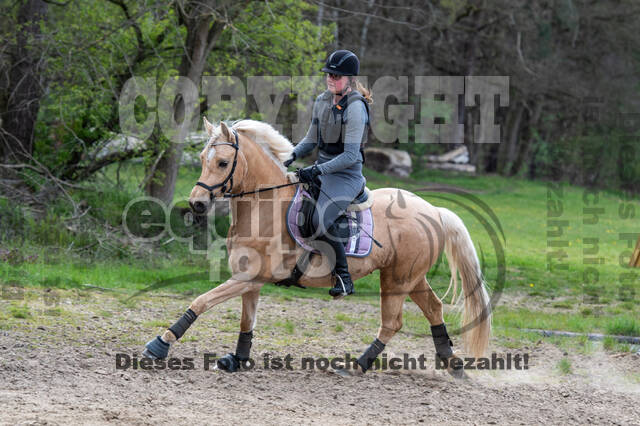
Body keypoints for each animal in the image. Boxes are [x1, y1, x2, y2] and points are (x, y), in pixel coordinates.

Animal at [142, 117, 492, 376]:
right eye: (203, 159)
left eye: (223, 162)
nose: (197, 203)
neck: (263, 207)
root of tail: (434, 210)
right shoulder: (250, 280)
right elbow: (246, 322)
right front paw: (237, 360)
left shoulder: (246, 278)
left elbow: (201, 301)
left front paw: (160, 344)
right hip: (410, 277)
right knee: (434, 308)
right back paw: (452, 364)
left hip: (397, 279)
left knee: (393, 322)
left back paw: (357, 366)